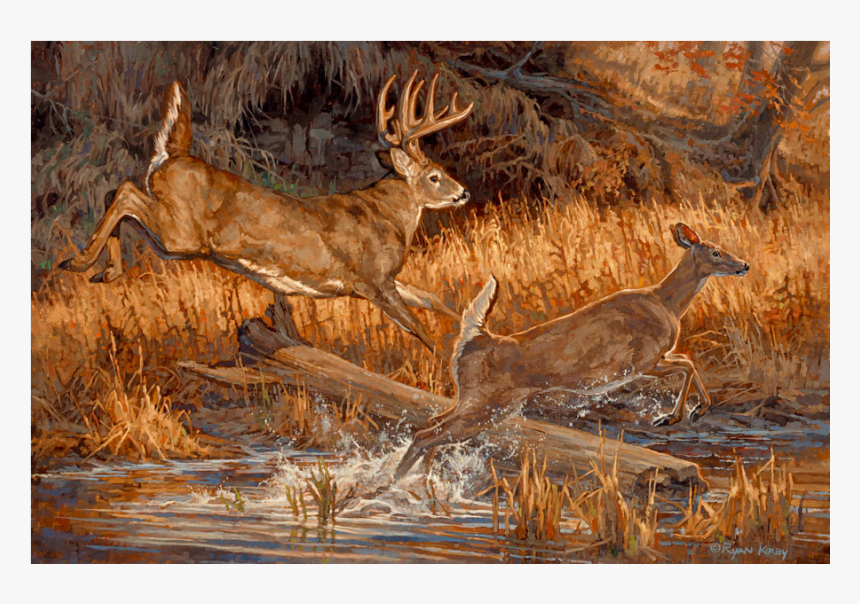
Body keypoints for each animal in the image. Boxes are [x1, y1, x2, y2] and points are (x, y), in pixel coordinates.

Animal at [59, 71, 474, 353]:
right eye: (435, 176)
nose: (464, 192)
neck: (388, 215)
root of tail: (173, 156)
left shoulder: (386, 280)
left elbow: (434, 300)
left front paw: (481, 332)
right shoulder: (371, 280)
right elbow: (419, 329)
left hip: (171, 239)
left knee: (118, 193)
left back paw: (104, 270)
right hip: (181, 233)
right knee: (125, 193)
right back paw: (78, 263)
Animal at [394, 223, 750, 479]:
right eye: (716, 252)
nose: (745, 264)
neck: (667, 303)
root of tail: (476, 337)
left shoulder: (650, 361)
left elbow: (687, 362)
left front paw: (691, 411)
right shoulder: (642, 361)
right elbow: (688, 364)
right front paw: (676, 415)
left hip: (475, 400)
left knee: (430, 426)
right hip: (486, 404)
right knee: (427, 434)